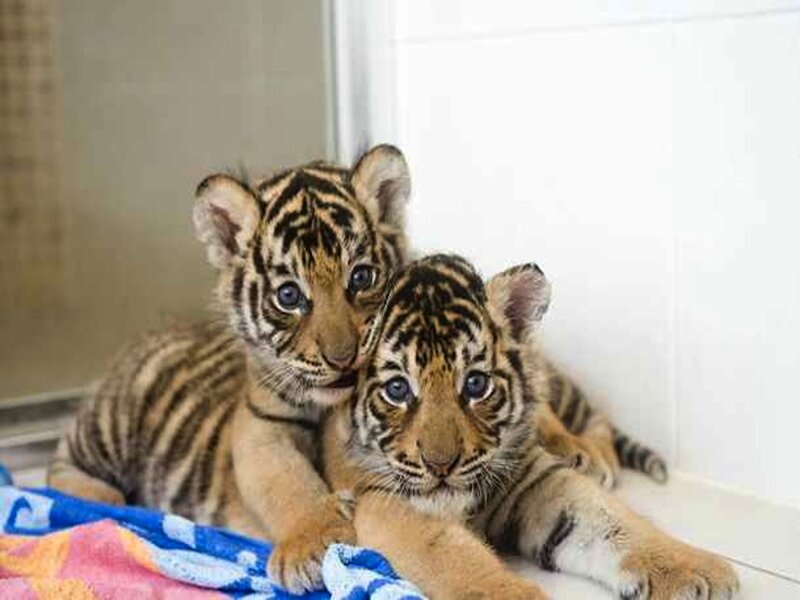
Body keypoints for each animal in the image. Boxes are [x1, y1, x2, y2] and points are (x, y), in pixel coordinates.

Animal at [47, 144, 413, 594]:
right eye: (289, 296)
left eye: (362, 277)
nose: (342, 358)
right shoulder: (261, 427)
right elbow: (287, 483)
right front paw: (313, 545)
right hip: (111, 424)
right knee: (58, 465)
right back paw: (109, 502)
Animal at [322, 254, 738, 599]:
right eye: (397, 389)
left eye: (476, 384)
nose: (441, 465)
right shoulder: (385, 504)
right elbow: (454, 556)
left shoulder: (538, 479)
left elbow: (613, 521)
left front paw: (698, 570)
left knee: (593, 420)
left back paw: (592, 457)